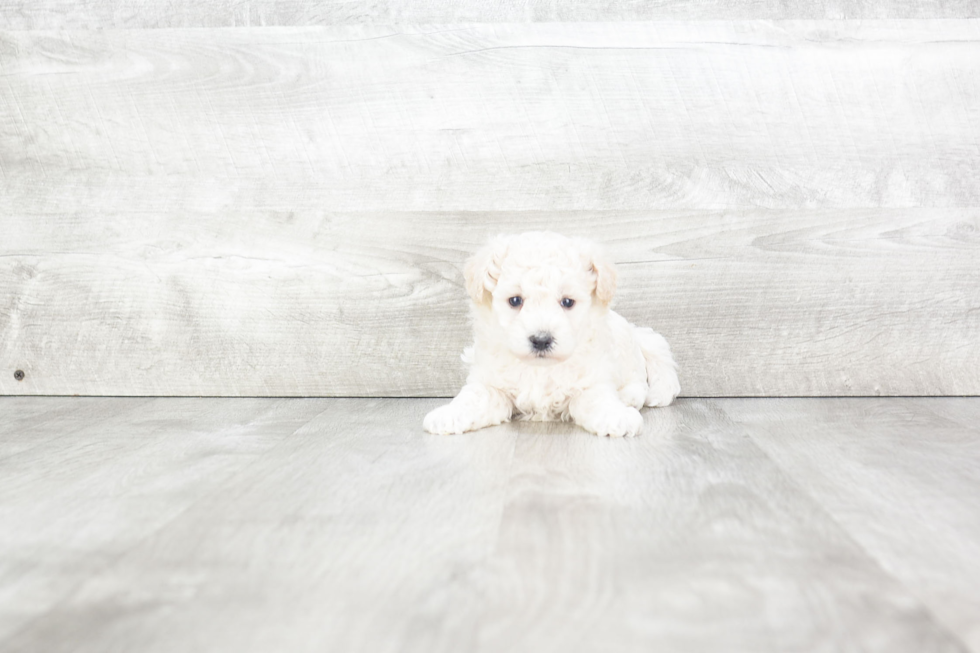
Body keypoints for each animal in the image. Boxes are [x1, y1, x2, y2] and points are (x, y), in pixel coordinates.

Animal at [422, 230, 680, 438]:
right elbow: (473, 398)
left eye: (567, 302)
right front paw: (447, 415)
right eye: (515, 301)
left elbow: (596, 399)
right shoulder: (491, 383)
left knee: (639, 382)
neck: (540, 370)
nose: (541, 340)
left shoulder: (591, 380)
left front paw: (618, 418)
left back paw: (628, 397)